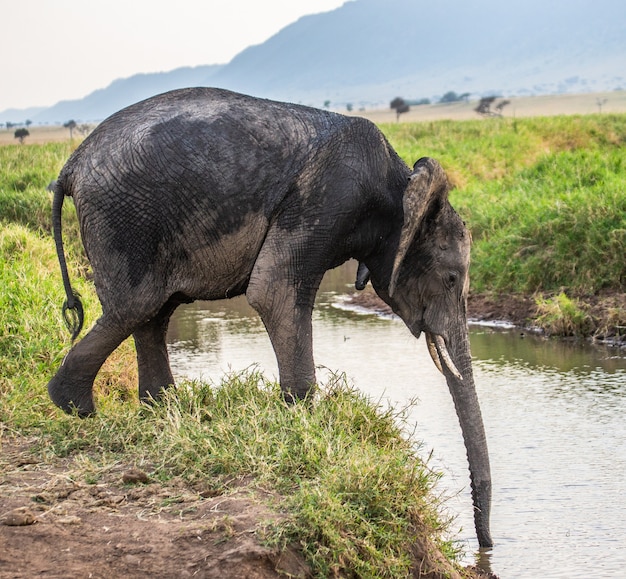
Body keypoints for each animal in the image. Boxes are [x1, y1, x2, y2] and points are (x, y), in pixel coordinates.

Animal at [46, 86, 490, 548]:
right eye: (451, 278)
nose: (487, 545)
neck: (401, 183)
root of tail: (71, 166)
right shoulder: (329, 198)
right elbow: (273, 290)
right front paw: (305, 422)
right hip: (124, 217)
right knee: (138, 305)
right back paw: (77, 406)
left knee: (152, 312)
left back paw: (161, 409)